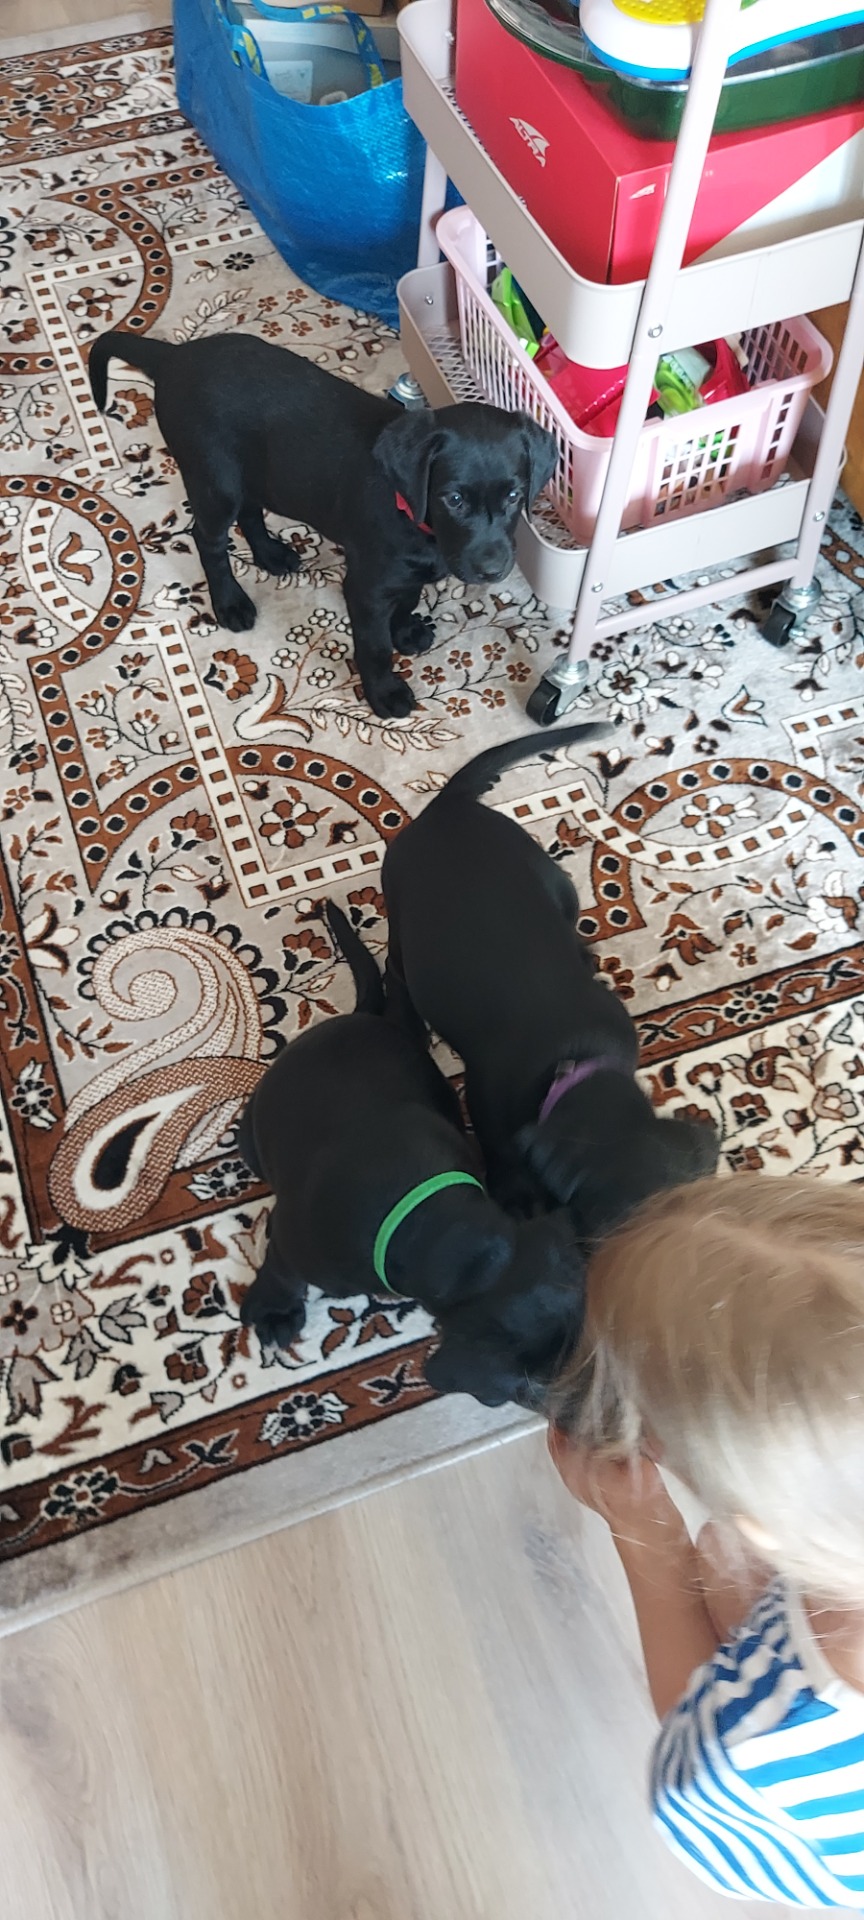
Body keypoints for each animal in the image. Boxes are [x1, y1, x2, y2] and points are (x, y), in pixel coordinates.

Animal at [87, 330, 558, 722]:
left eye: (514, 496)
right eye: (454, 499)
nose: (493, 569)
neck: (415, 518)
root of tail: (174, 356)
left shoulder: (401, 575)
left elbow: (406, 599)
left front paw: (405, 630)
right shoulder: (366, 587)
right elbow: (373, 646)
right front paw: (384, 692)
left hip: (259, 472)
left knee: (251, 512)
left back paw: (271, 554)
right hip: (215, 480)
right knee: (209, 540)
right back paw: (230, 602)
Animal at [237, 902, 585, 1408]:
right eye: (535, 1390)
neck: (436, 1225)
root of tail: (362, 1015)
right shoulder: (292, 1237)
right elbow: (281, 1271)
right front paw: (273, 1312)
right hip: (251, 1140)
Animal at [382, 727, 719, 1242]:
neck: (578, 1058)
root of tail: (447, 806)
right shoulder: (487, 1103)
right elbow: (502, 1157)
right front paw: (516, 1197)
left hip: (558, 882)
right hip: (400, 914)